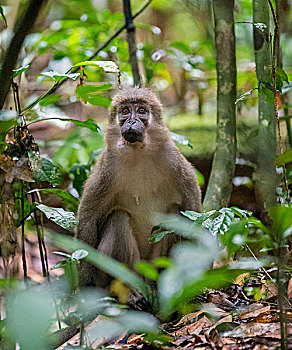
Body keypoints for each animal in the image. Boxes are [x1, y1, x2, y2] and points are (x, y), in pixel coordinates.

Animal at [76, 87, 202, 288]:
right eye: (125, 111)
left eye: (141, 111)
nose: (132, 121)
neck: (138, 152)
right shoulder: (108, 166)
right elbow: (88, 218)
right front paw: (86, 286)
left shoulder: (171, 157)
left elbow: (192, 209)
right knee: (119, 218)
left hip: (152, 266)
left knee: (176, 214)